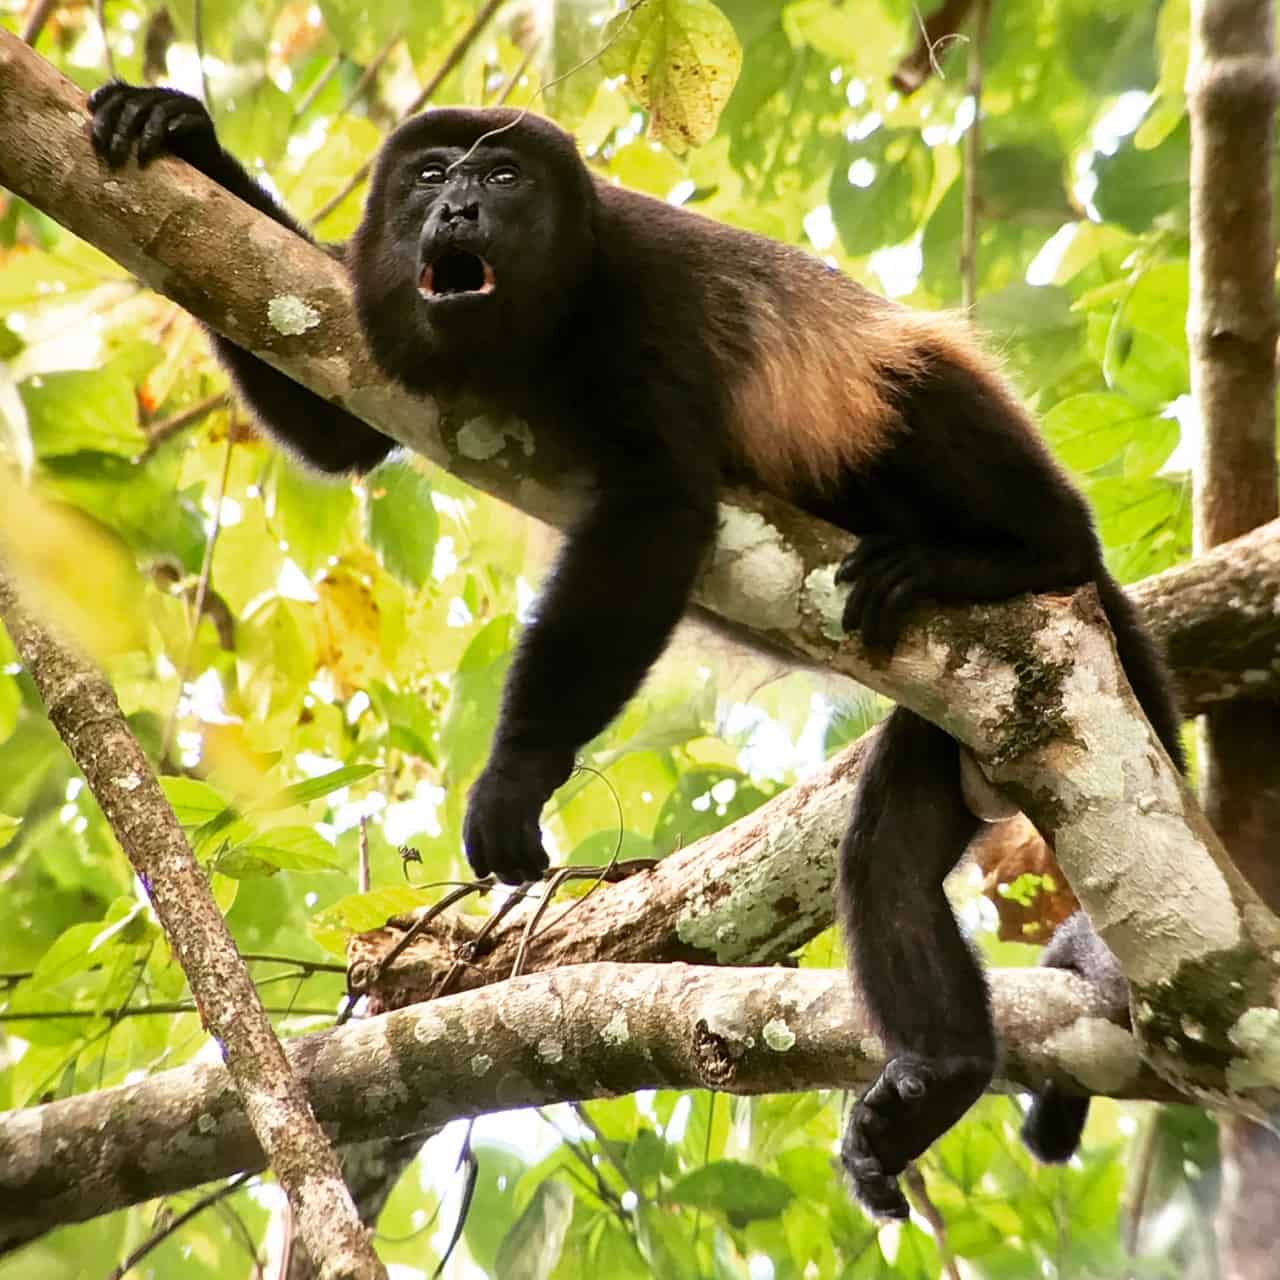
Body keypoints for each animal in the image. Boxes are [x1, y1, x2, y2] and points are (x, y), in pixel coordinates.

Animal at [90, 80, 1182, 1218]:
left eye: (504, 176)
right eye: (430, 176)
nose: (459, 208)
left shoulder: (637, 298)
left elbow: (660, 509)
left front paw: (515, 775)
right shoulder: (357, 323)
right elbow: (338, 432)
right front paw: (182, 135)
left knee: (922, 399)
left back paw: (1002, 552)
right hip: (966, 719)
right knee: (887, 861)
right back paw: (943, 1071)